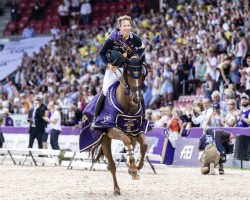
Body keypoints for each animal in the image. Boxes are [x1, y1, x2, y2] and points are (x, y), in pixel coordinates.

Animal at [79, 51, 150, 195]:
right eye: (129, 74)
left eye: (141, 74)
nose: (137, 98)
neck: (129, 104)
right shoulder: (113, 130)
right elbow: (127, 142)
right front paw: (133, 168)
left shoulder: (137, 130)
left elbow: (144, 145)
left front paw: (138, 167)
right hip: (105, 139)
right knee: (112, 165)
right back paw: (116, 188)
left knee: (132, 145)